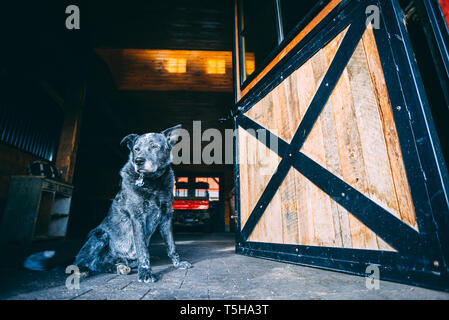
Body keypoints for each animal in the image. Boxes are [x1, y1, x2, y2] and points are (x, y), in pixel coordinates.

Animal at [73, 125, 191, 282]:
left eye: (154, 146)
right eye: (136, 149)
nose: (138, 161)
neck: (153, 183)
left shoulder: (166, 217)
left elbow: (171, 245)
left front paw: (178, 263)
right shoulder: (137, 218)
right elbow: (142, 250)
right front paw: (146, 272)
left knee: (103, 263)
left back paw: (119, 267)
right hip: (99, 235)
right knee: (87, 262)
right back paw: (84, 270)